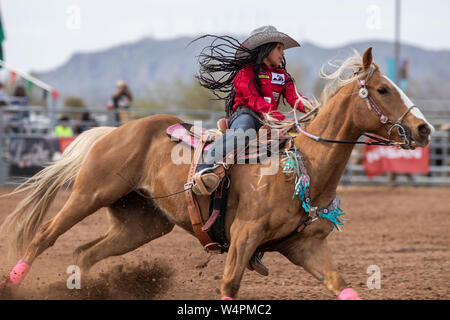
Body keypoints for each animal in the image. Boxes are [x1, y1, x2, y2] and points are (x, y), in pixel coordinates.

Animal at [1, 48, 434, 300]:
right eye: (382, 89)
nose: (424, 129)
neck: (304, 164)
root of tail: (115, 131)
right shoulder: (244, 235)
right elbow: (229, 285)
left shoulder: (305, 246)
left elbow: (340, 286)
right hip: (89, 194)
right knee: (44, 236)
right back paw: (13, 283)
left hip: (142, 223)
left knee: (85, 252)